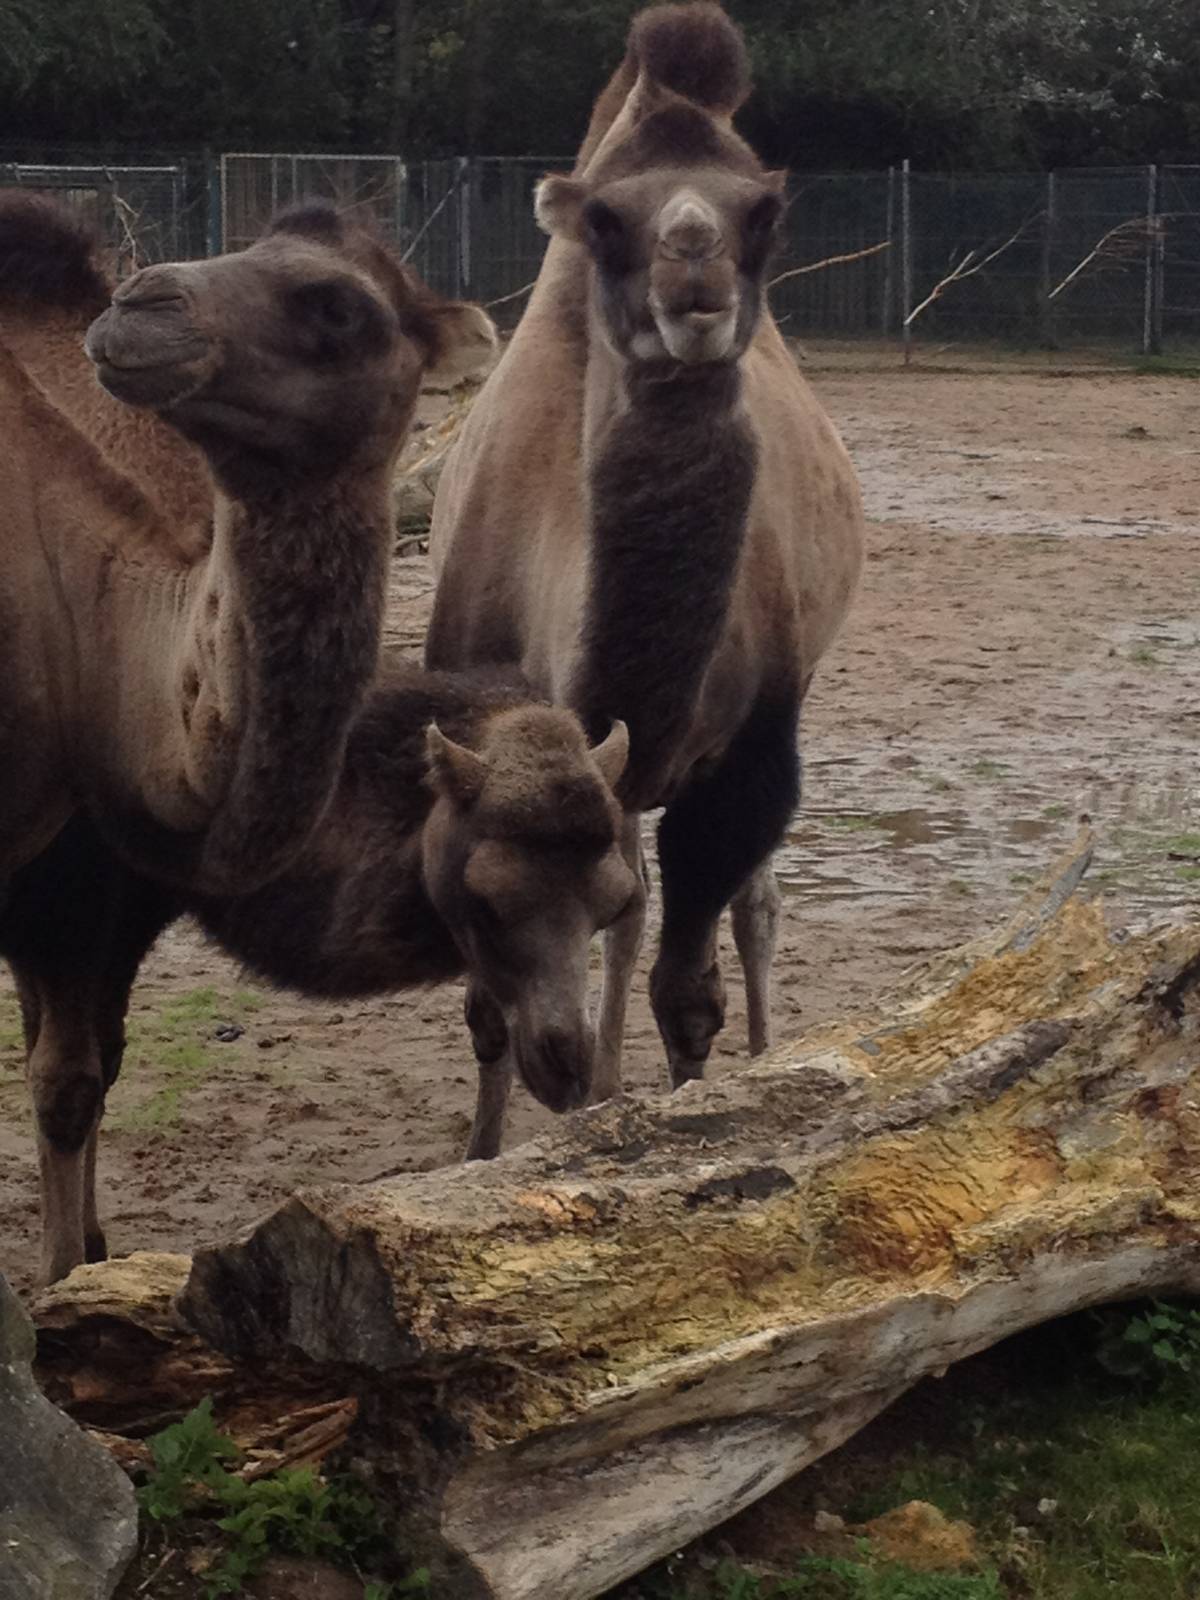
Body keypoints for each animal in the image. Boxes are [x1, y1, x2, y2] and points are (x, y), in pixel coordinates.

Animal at [3, 681, 631, 1283]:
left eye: (613, 903)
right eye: (488, 898)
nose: (568, 1063)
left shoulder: (121, 920)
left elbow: (97, 1065)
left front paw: (93, 1250)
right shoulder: (62, 906)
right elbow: (65, 1086)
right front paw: (58, 1277)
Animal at [427, 1, 866, 1153]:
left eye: (762, 212)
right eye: (605, 219)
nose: (694, 267)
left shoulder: (750, 754)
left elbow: (688, 989)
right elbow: (492, 1004)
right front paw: (488, 1150)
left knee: (753, 909)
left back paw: (758, 1050)